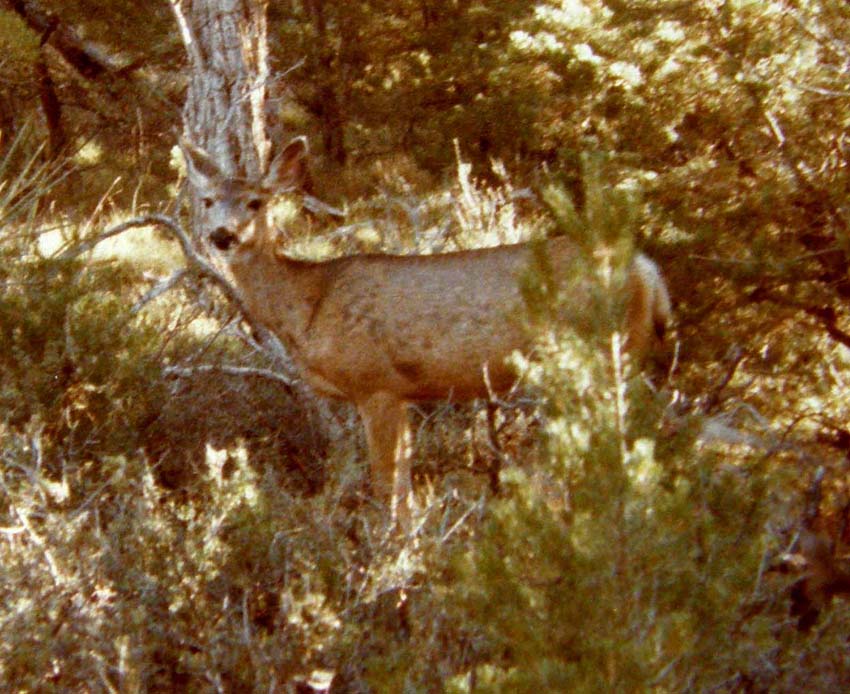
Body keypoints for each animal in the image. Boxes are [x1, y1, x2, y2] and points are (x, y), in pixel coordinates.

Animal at [177, 135, 668, 528]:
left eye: (255, 202)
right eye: (207, 202)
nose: (221, 235)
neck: (311, 304)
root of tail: (645, 269)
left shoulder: (375, 384)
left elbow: (385, 489)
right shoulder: (405, 395)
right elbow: (406, 494)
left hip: (606, 354)